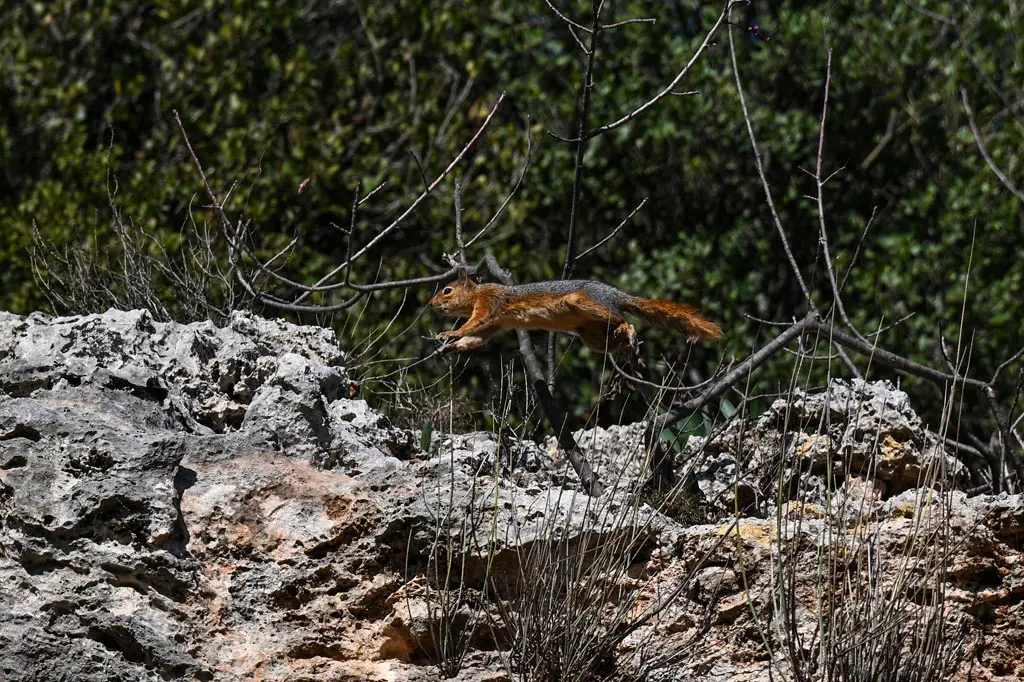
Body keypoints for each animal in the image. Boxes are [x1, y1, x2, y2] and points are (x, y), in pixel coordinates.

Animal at [428, 266, 724, 352]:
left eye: (447, 291)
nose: (430, 305)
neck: (477, 292)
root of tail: (617, 295)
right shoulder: (495, 324)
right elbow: (477, 338)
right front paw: (452, 346)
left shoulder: (489, 303)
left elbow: (474, 322)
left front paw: (449, 334)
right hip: (591, 336)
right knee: (609, 343)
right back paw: (623, 342)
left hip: (583, 302)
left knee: (621, 317)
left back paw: (627, 327)